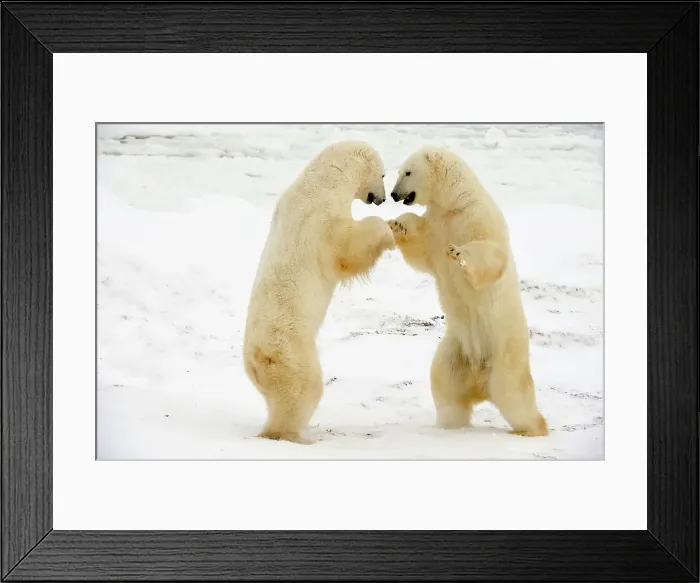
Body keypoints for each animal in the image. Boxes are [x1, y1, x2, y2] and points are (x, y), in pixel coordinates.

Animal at [243, 141, 395, 444]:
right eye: (383, 175)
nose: (383, 199)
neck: (323, 181)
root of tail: (256, 358)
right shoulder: (321, 218)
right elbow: (347, 248)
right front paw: (389, 230)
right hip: (291, 351)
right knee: (303, 388)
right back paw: (291, 435)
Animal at [387, 146, 548, 437]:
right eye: (400, 172)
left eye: (408, 172)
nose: (394, 194)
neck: (455, 203)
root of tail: (480, 382)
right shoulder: (435, 225)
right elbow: (419, 247)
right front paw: (397, 225)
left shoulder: (477, 217)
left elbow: (490, 252)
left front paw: (458, 254)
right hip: (456, 352)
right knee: (445, 386)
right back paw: (449, 424)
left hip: (505, 355)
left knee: (515, 396)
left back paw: (534, 428)